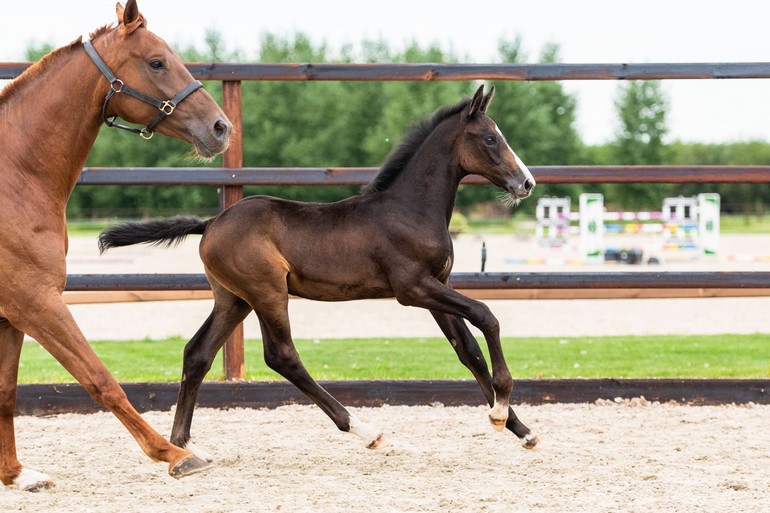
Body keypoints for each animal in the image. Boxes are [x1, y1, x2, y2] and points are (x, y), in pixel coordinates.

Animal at [1, 0, 232, 488]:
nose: (221, 127)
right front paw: (174, 454)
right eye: (157, 62)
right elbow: (100, 379)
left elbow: (6, 391)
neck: (12, 176)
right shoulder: (35, 301)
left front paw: (16, 475)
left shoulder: (10, 314)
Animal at [99, 83, 536, 456]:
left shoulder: (436, 286)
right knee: (282, 356)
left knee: (197, 353)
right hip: (267, 292)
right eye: (490, 138)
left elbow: (468, 351)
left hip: (234, 299)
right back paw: (366, 430)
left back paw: (182, 446)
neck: (408, 210)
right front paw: (500, 409)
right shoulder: (413, 288)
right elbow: (486, 315)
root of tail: (211, 223)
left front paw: (520, 428)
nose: (526, 182)